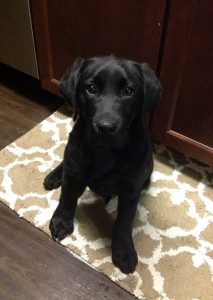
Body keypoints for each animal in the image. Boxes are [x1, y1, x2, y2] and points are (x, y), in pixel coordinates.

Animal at [44, 55, 162, 274]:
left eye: (128, 91)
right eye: (90, 88)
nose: (105, 128)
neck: (106, 152)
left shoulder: (131, 191)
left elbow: (124, 221)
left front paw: (124, 251)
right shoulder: (74, 173)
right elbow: (67, 196)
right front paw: (61, 220)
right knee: (66, 162)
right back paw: (54, 176)